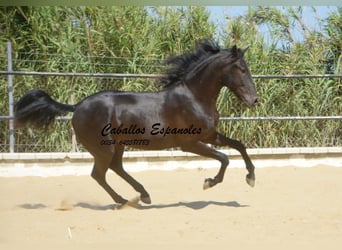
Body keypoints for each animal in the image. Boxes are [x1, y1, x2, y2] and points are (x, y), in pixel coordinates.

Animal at [14, 40, 258, 206]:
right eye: (242, 69)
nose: (254, 100)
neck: (194, 97)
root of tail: (77, 107)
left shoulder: (209, 135)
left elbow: (239, 146)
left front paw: (251, 177)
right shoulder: (189, 143)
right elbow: (224, 158)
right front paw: (209, 182)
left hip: (118, 145)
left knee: (115, 168)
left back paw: (143, 195)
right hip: (104, 148)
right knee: (99, 174)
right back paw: (124, 200)